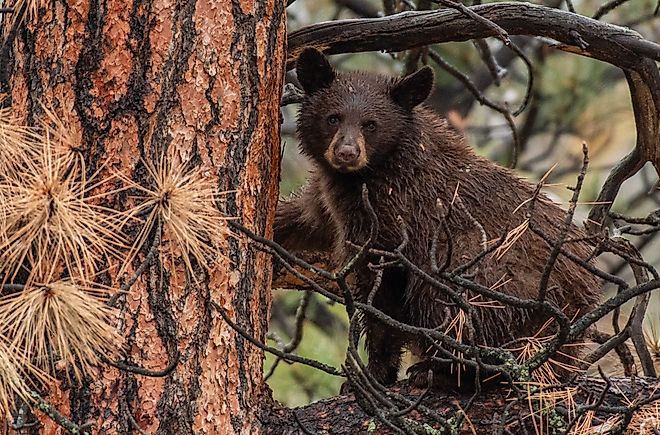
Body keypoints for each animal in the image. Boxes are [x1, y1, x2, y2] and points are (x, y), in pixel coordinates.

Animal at [274, 47, 601, 389]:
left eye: (370, 124)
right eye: (333, 117)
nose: (347, 153)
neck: (373, 173)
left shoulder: (394, 218)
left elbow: (384, 295)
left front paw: (371, 375)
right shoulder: (330, 198)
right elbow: (306, 219)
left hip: (486, 273)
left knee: (453, 305)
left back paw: (440, 370)